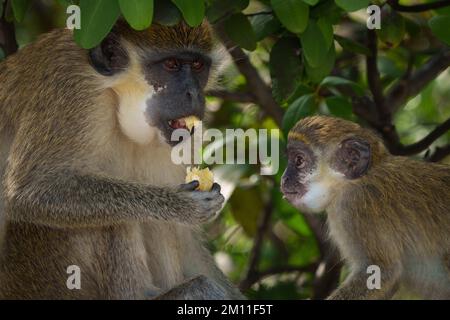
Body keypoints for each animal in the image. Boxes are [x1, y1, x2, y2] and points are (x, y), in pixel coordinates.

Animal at [0, 20, 244, 300]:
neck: (114, 95)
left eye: (197, 65)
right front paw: (179, 205)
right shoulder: (70, 89)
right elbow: (30, 189)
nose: (193, 93)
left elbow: (186, 242)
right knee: (110, 216)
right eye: (171, 65)